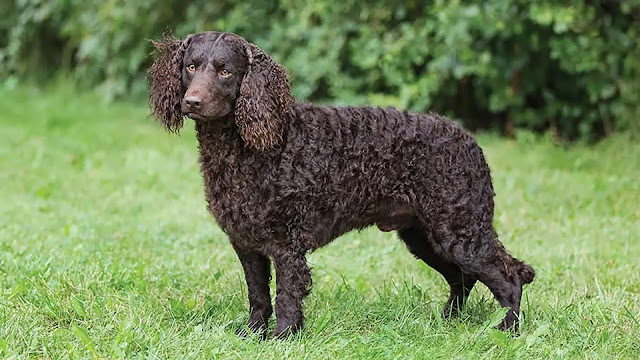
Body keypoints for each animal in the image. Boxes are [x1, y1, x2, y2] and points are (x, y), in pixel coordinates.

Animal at [149, 31, 536, 338]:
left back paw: (506, 330)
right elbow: (257, 295)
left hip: (459, 232)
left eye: (225, 71)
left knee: (510, 277)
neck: (248, 147)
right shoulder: (246, 243)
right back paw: (448, 321)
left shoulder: (286, 243)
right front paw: (252, 335)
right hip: (425, 236)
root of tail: (470, 141)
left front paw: (282, 338)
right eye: (191, 67)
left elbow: (286, 295)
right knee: (463, 279)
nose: (191, 101)